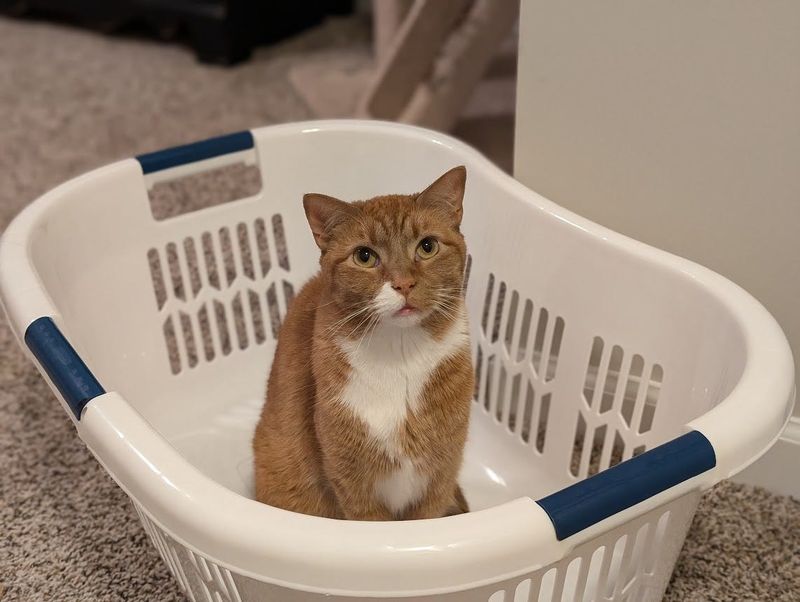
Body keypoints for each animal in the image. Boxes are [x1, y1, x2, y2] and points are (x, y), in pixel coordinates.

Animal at [253, 166, 472, 516]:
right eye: (365, 256)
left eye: (427, 246)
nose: (403, 284)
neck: (400, 356)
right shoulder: (355, 490)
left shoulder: (439, 481)